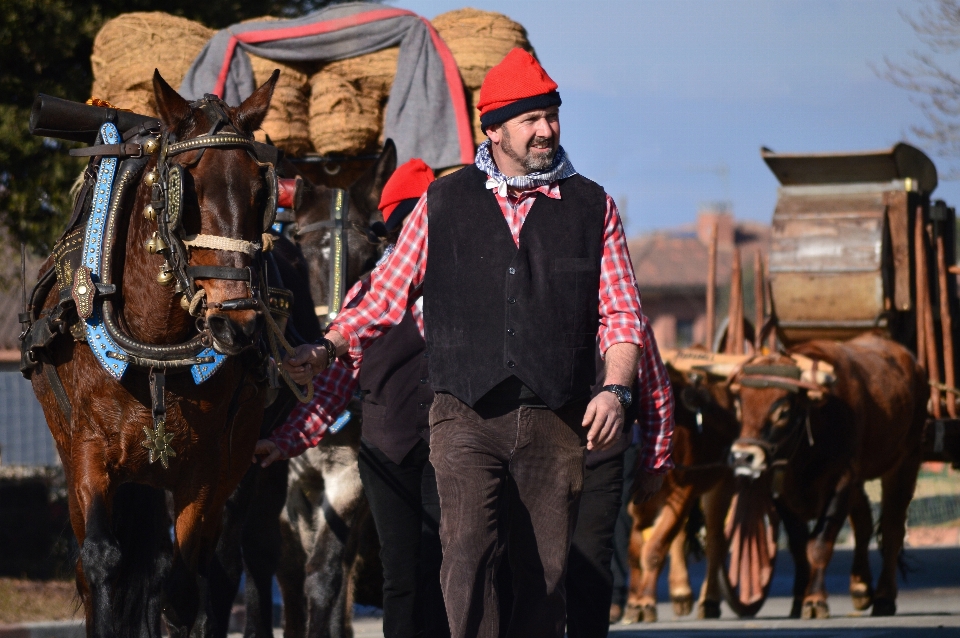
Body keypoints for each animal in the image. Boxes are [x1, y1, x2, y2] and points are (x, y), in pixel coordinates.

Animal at [732, 336, 928, 620]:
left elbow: (819, 544)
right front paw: (798, 600)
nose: (743, 456)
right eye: (739, 405)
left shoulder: (841, 481)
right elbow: (799, 546)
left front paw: (815, 601)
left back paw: (883, 597)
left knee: (892, 529)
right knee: (864, 522)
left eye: (782, 412)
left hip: (906, 462)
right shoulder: (779, 490)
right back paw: (860, 588)